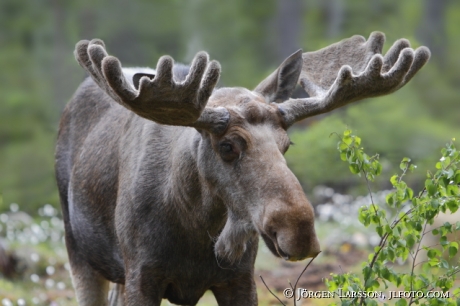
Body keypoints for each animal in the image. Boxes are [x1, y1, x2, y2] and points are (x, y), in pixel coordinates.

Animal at [55, 32, 430, 304]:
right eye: (227, 146)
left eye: (286, 144)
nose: (299, 232)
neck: (196, 226)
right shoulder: (142, 276)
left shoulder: (239, 278)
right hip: (80, 254)